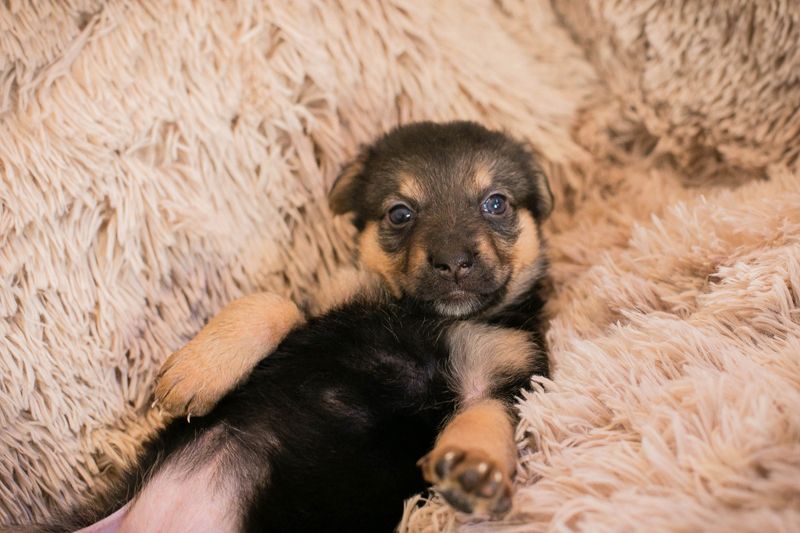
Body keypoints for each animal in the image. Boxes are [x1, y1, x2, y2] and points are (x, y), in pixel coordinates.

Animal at [68, 121, 554, 532]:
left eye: (495, 203)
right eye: (400, 214)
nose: (453, 262)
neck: (425, 317)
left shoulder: (503, 375)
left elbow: (487, 417)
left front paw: (475, 470)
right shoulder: (326, 305)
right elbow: (272, 303)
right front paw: (197, 371)